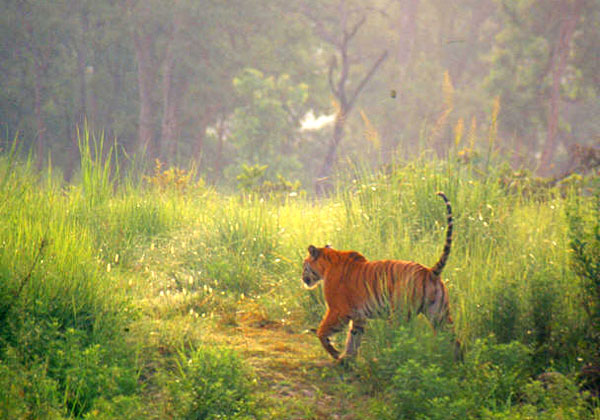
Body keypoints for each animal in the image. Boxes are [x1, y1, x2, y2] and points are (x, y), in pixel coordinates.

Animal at [302, 192, 458, 360]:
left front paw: (335, 354)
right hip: (439, 314)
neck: (328, 263)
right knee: (455, 340)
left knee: (400, 340)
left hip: (399, 314)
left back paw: (387, 357)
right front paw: (347, 358)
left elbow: (322, 331)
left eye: (304, 265)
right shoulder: (358, 316)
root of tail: (429, 271)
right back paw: (457, 360)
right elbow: (353, 337)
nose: (302, 278)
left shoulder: (338, 310)